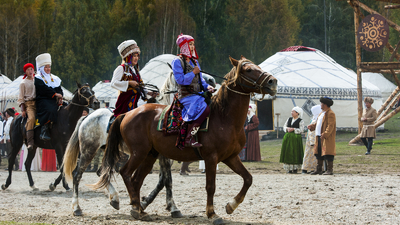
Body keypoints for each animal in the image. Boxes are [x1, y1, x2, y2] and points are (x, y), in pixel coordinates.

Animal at [92, 55, 276, 223]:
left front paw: (231, 205)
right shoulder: (211, 158)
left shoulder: (231, 157)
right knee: (124, 172)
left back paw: (139, 209)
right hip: (138, 152)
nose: (273, 81)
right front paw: (212, 213)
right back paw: (134, 205)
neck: (225, 117)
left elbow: (248, 179)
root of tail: (127, 114)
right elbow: (210, 186)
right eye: (249, 70)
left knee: (136, 179)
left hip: (149, 155)